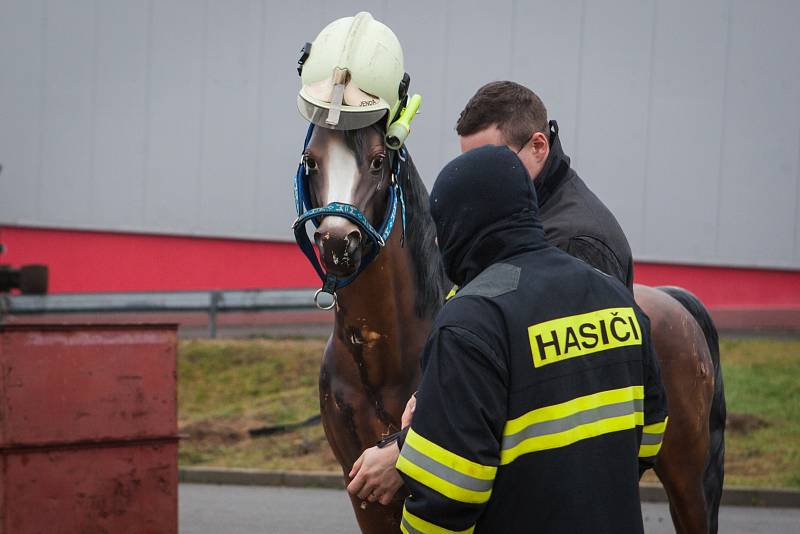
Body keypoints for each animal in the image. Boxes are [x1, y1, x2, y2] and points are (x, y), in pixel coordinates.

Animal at [294, 122, 724, 534]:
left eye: (378, 161)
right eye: (311, 161)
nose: (338, 243)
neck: (383, 360)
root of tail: (673, 299)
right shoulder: (365, 500)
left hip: (685, 476)